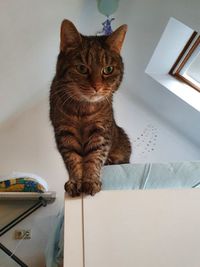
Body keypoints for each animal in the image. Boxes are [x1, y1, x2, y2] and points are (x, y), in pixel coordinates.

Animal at [50, 19, 131, 198]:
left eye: (108, 69)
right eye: (82, 68)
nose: (97, 87)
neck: (82, 109)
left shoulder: (101, 131)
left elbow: (95, 157)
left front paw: (90, 180)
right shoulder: (64, 133)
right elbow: (72, 159)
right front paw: (75, 181)